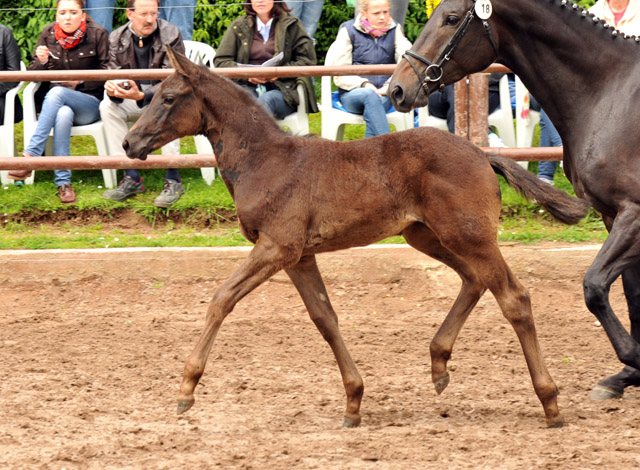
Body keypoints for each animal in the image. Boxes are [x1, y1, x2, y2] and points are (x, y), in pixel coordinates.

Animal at [122, 48, 588, 430]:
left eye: (168, 98)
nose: (129, 142)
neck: (265, 162)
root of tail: (482, 153)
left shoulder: (277, 246)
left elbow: (221, 299)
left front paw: (186, 390)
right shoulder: (298, 256)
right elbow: (325, 318)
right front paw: (353, 402)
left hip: (468, 235)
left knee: (514, 297)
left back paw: (550, 403)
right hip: (426, 236)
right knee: (474, 281)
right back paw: (439, 364)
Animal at [388, 0, 640, 400]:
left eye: (452, 18)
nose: (397, 88)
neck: (609, 92)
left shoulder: (634, 213)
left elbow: (595, 287)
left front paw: (634, 362)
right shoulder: (613, 214)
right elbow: (630, 296)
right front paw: (625, 376)